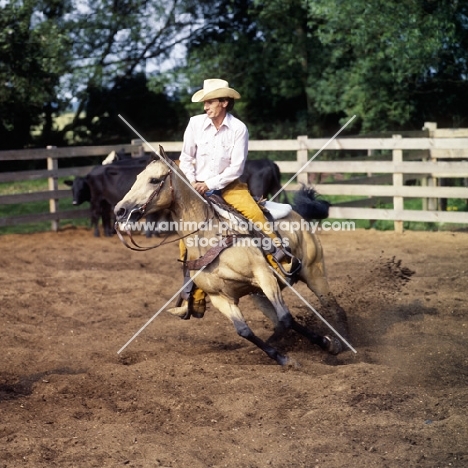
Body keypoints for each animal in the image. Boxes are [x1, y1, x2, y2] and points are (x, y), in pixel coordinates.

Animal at [115, 152, 350, 364]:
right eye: (137, 178)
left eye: (154, 180)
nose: (120, 210)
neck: (210, 238)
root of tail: (297, 214)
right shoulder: (221, 297)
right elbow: (246, 330)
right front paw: (283, 357)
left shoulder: (264, 275)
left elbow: (285, 318)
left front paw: (325, 344)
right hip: (258, 295)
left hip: (314, 272)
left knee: (334, 308)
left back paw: (344, 341)